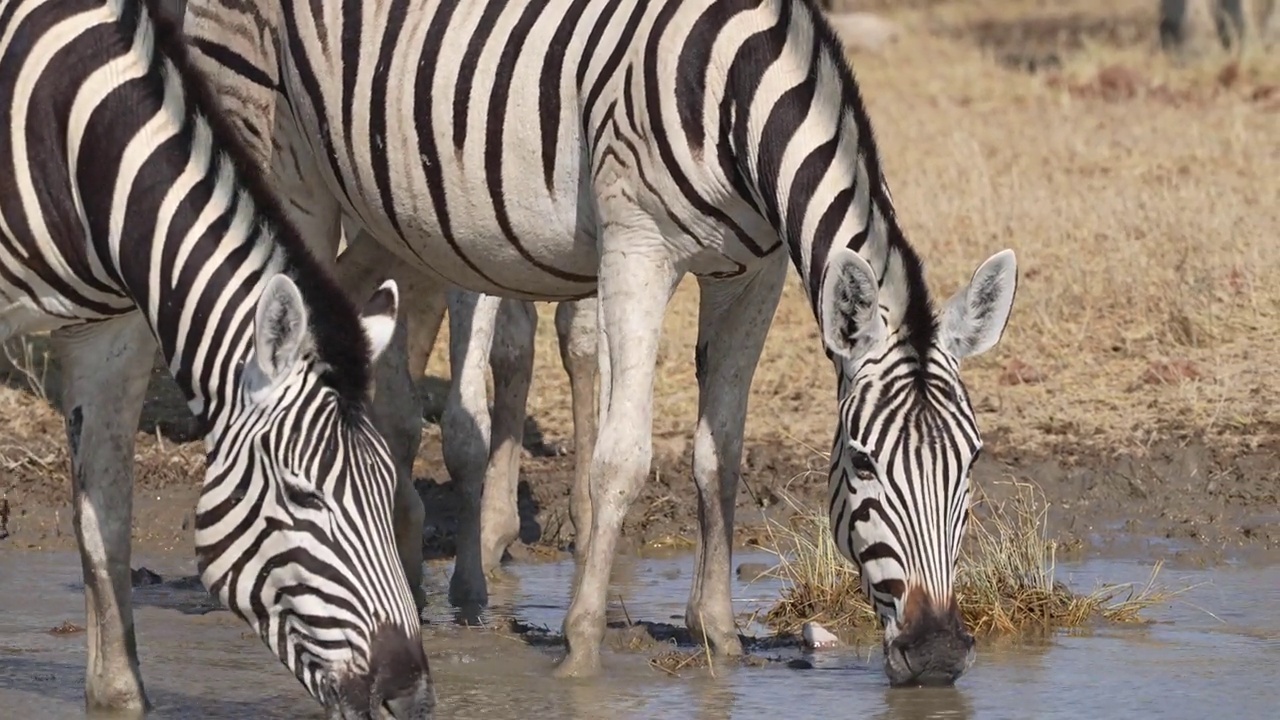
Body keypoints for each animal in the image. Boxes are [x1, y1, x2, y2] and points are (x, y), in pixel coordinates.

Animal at [0, 0, 435, 712]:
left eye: (386, 489)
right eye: (302, 495)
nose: (410, 699)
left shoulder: (111, 334)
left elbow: (104, 523)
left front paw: (118, 693)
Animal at [183, 0, 1018, 681]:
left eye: (973, 461)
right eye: (863, 463)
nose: (939, 654)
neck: (734, 98)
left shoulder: (755, 273)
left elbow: (719, 453)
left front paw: (719, 635)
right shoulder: (637, 248)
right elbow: (623, 456)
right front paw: (581, 647)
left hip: (390, 208)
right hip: (283, 158)